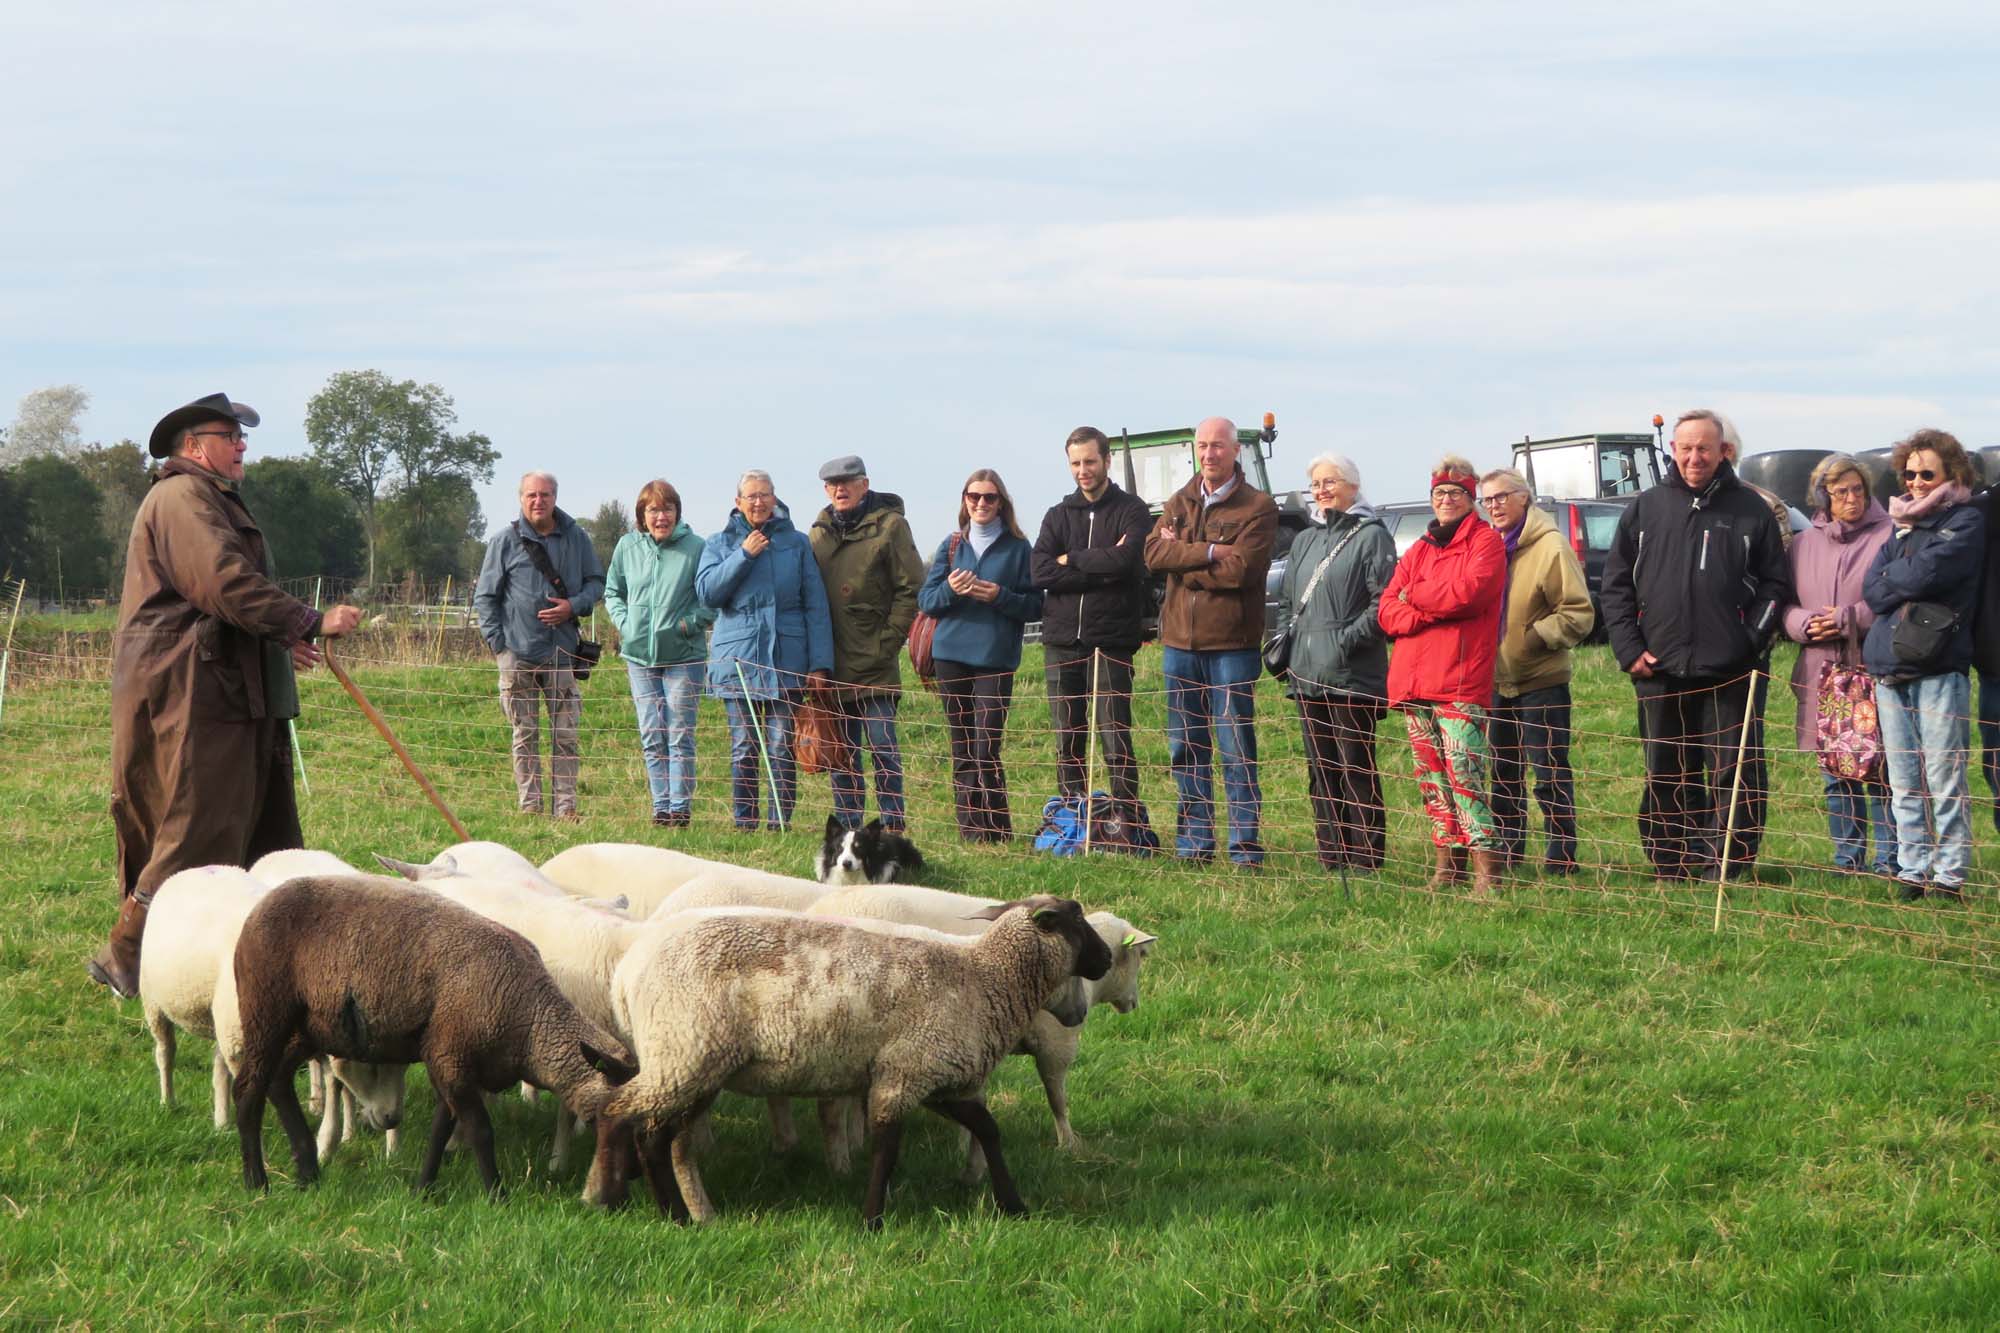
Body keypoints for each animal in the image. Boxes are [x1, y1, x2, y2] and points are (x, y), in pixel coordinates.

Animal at [233, 872, 640, 1192]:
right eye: (614, 1115)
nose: (634, 1173)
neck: (530, 1020)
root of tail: (258, 908)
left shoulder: (452, 1060)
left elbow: (441, 1130)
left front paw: (423, 1188)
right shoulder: (452, 1058)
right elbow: (480, 1130)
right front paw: (496, 1194)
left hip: (310, 1026)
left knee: (278, 1081)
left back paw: (307, 1171)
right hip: (266, 1011)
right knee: (249, 1089)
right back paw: (257, 1181)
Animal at [584, 892, 1120, 1224]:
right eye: (1077, 922)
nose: (1107, 960)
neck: (985, 978)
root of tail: (626, 978)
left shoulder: (933, 1074)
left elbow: (987, 1129)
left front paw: (1012, 1204)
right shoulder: (904, 1074)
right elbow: (886, 1149)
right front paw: (871, 1219)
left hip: (693, 1062)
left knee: (649, 1130)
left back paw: (663, 1209)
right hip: (685, 1051)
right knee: (624, 1116)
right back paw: (635, 1205)